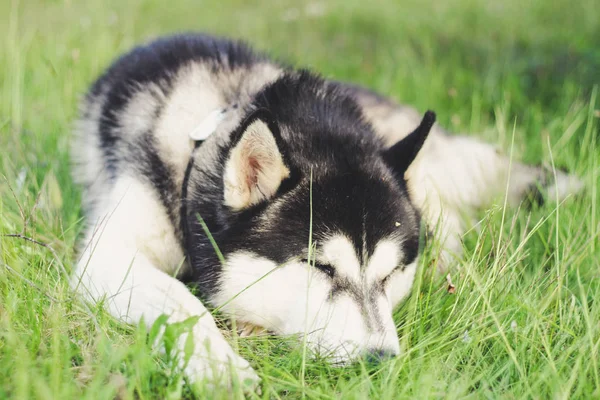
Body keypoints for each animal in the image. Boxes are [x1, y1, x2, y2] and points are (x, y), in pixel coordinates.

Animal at [70, 32, 580, 390]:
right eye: (319, 266)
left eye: (390, 275)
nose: (380, 362)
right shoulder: (108, 254)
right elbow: (181, 301)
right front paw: (218, 367)